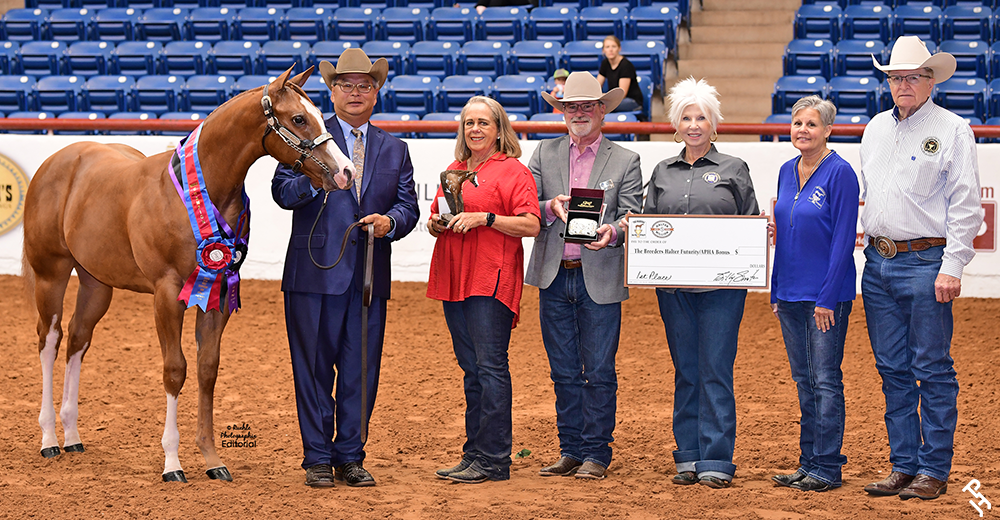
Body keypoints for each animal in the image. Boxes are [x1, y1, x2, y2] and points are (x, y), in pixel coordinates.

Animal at [22, 66, 356, 484]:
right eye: (299, 119)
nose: (346, 172)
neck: (199, 191)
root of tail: (58, 161)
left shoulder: (218, 294)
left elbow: (207, 369)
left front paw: (212, 460)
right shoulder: (167, 294)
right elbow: (175, 370)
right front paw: (172, 463)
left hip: (96, 283)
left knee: (78, 340)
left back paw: (72, 435)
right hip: (50, 273)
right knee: (49, 340)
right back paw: (50, 438)